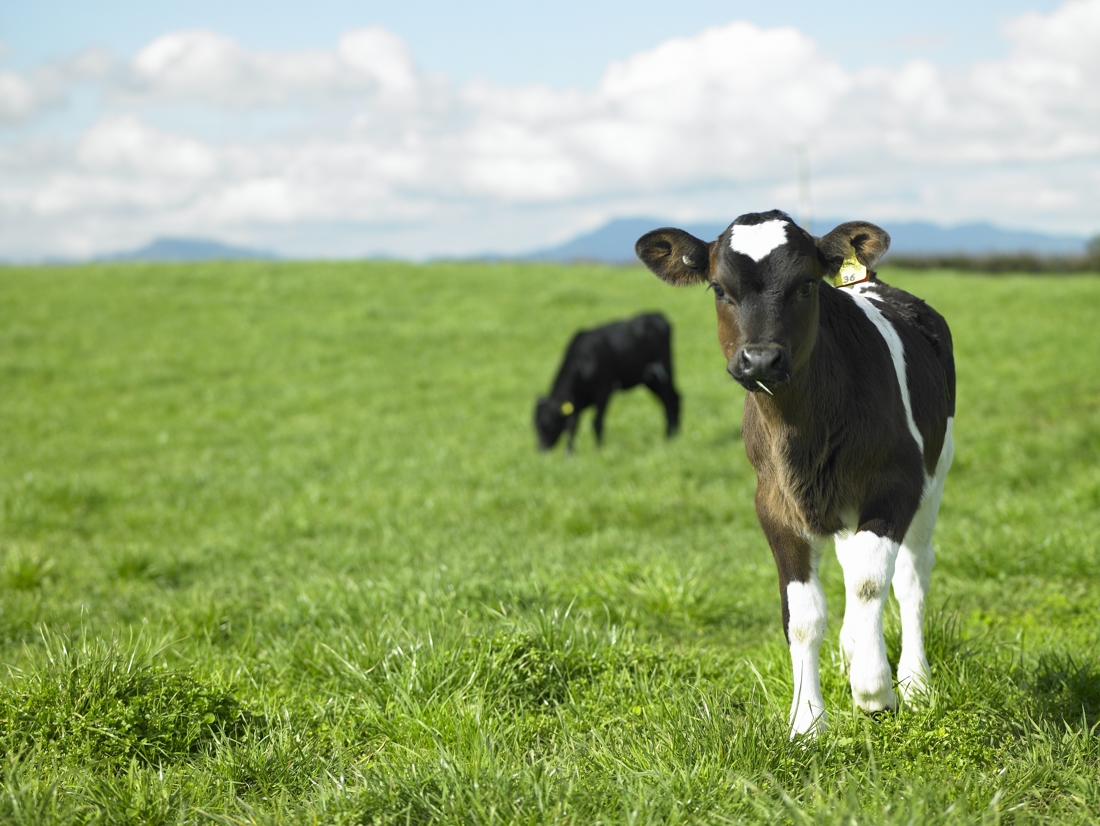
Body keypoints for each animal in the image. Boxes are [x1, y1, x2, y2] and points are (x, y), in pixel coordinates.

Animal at [534, 312, 681, 452]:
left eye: (548, 422)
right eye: (534, 425)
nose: (541, 449)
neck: (583, 362)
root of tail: (658, 316)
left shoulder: (603, 392)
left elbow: (596, 423)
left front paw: (597, 450)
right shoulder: (576, 401)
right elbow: (572, 427)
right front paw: (569, 454)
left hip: (663, 373)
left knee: (671, 399)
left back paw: (671, 436)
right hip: (650, 379)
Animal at [635, 210, 955, 737]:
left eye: (806, 284)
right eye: (719, 288)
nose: (761, 359)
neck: (804, 433)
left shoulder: (898, 485)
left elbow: (872, 582)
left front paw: (875, 688)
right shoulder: (774, 503)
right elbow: (803, 613)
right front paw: (806, 723)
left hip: (936, 473)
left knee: (911, 576)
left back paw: (915, 680)